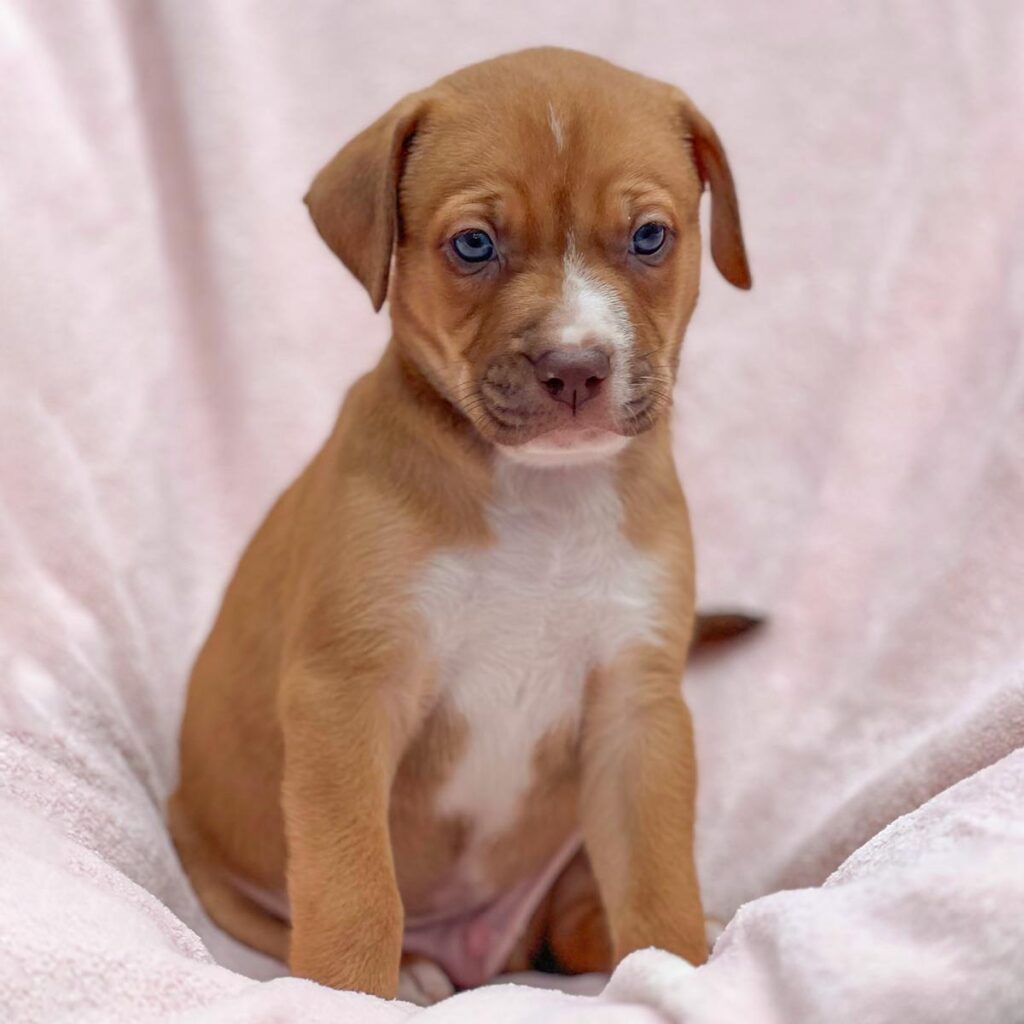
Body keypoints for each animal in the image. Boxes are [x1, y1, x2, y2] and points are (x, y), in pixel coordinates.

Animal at [169, 47, 751, 1006]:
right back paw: (411, 970)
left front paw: (682, 972)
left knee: (579, 923)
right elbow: (355, 887)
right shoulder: (346, 693)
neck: (542, 498)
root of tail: (486, 959)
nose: (575, 367)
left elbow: (659, 879)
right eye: (473, 245)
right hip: (224, 869)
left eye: (649, 238)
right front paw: (348, 996)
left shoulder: (638, 711)